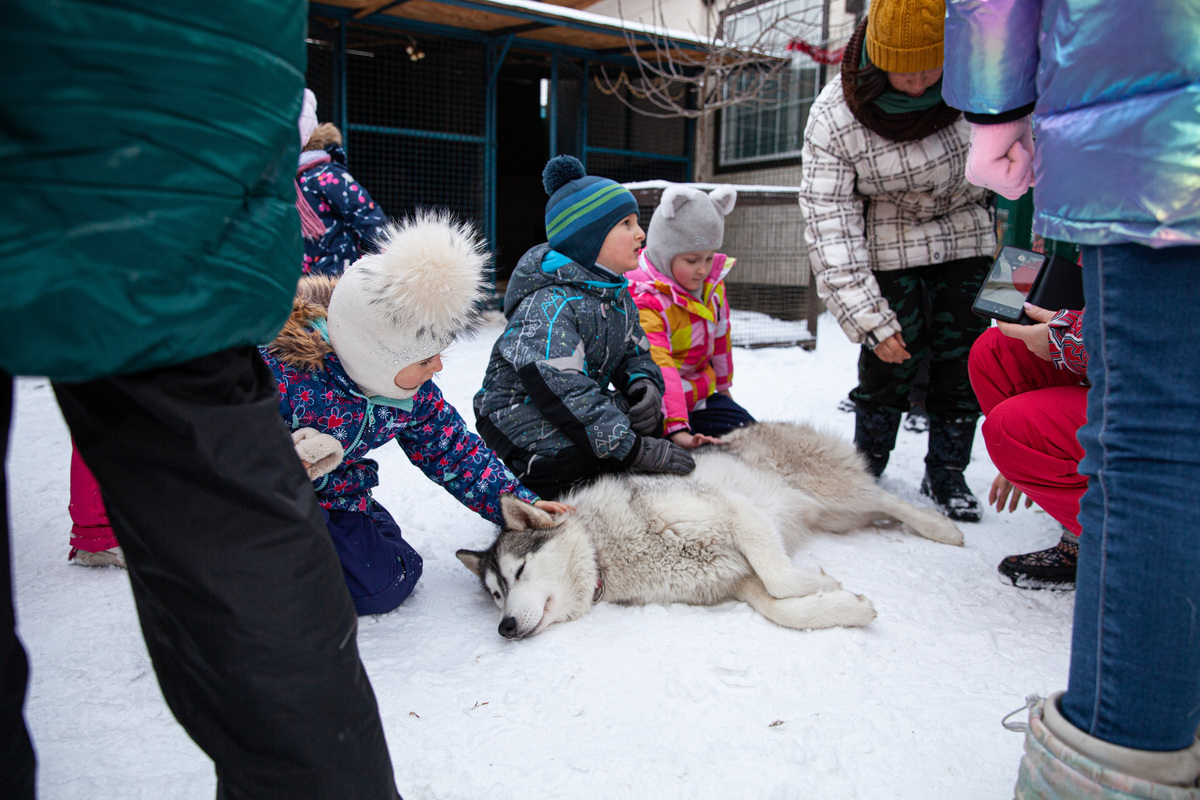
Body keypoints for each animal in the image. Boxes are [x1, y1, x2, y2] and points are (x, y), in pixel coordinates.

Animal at [453, 422, 960, 642]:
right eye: (495, 595)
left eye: (520, 572)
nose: (504, 627)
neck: (607, 551)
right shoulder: (735, 580)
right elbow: (782, 610)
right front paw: (845, 607)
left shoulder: (739, 512)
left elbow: (782, 579)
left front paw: (821, 581)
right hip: (834, 515)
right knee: (876, 511)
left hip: (836, 493)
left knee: (885, 500)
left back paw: (942, 527)